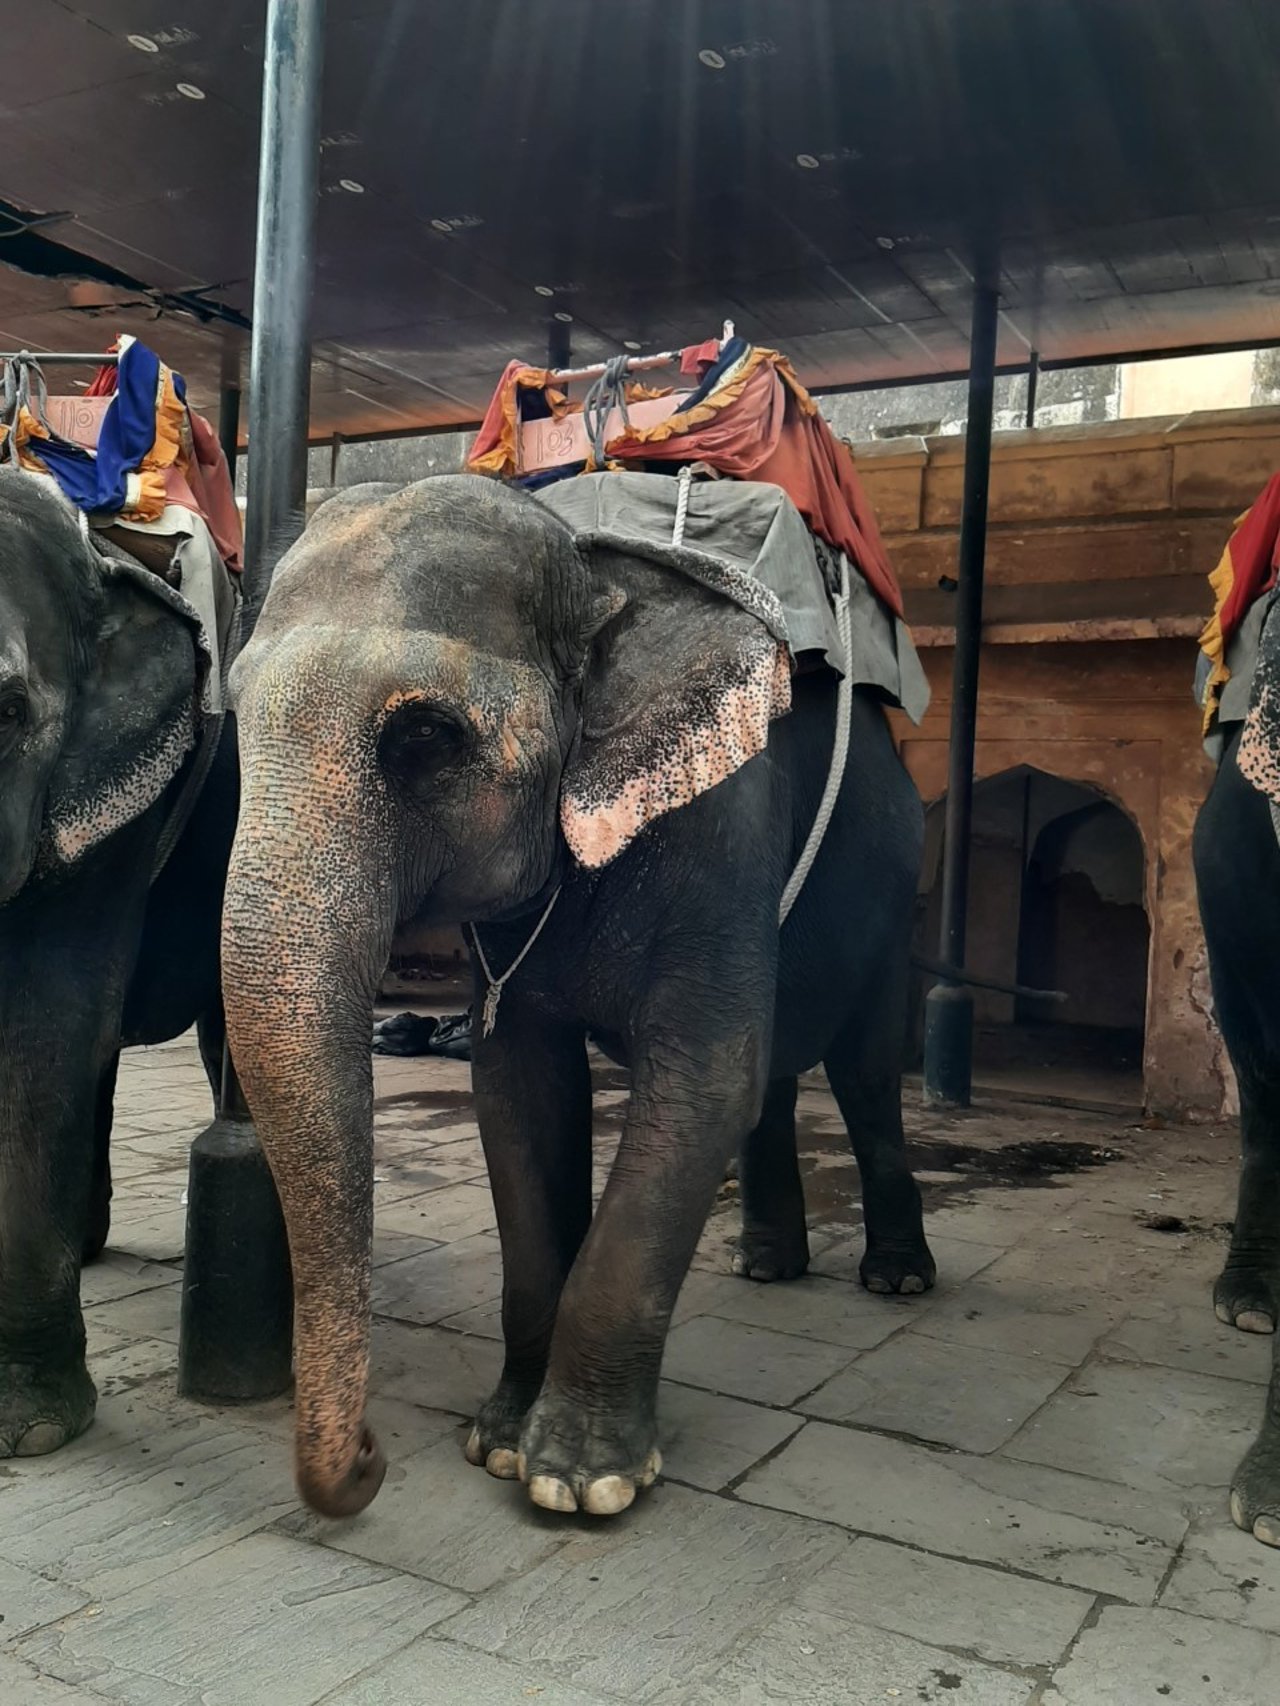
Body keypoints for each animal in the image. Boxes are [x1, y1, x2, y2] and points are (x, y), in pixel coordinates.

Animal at [225, 470, 935, 1521]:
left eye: (424, 735)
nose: (370, 1463)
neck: (593, 568)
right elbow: (520, 1091)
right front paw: (495, 1445)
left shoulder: (723, 825)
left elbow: (703, 1081)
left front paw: (581, 1483)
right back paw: (766, 1266)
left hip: (899, 887)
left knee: (865, 1072)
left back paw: (895, 1279)